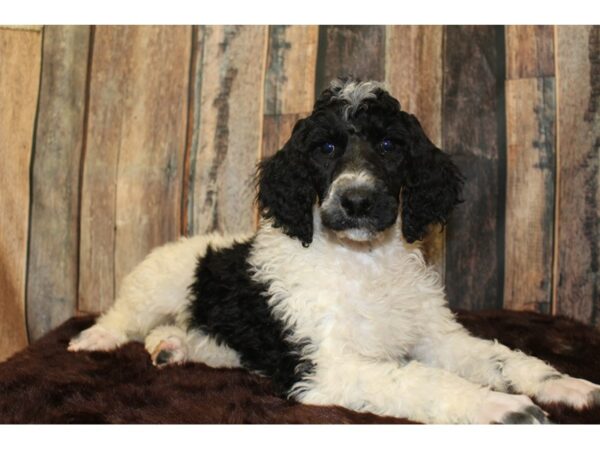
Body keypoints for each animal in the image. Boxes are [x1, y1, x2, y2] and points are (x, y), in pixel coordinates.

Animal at [70, 77, 600, 422]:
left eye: (389, 145)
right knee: (125, 316)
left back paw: (172, 347)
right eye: (324, 149)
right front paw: (500, 408)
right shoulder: (330, 367)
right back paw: (96, 339)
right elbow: (421, 380)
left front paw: (561, 383)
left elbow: (500, 357)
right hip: (157, 283)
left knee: (176, 334)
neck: (363, 261)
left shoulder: (433, 336)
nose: (357, 200)